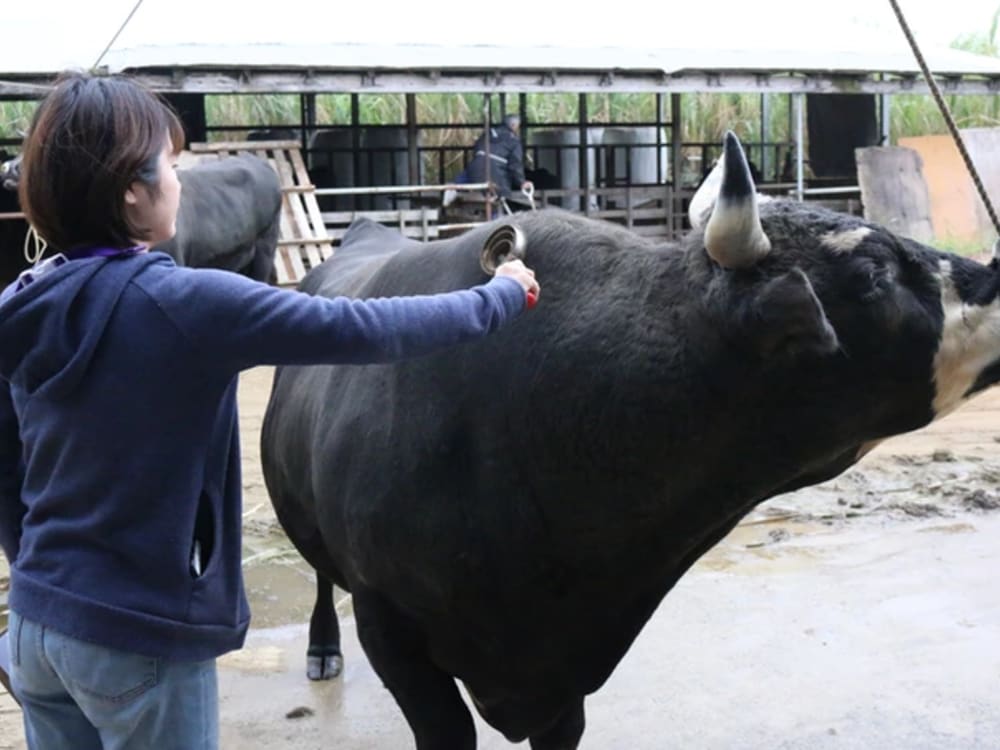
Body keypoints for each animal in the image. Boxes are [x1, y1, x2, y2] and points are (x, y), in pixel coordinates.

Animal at [262, 132, 1000, 748]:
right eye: (871, 274)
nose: (993, 275)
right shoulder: (393, 632)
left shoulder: (565, 678)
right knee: (320, 577)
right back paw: (321, 649)